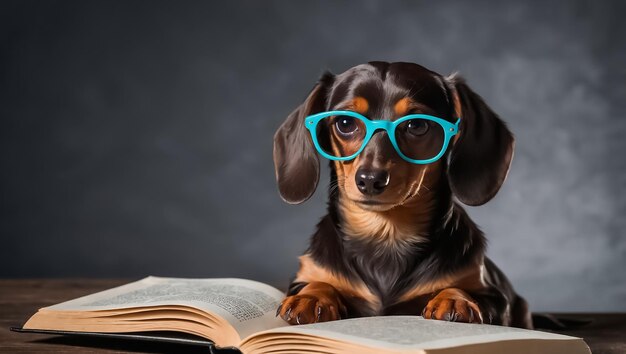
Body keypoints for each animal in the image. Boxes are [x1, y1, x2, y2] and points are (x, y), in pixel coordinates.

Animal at [270, 61, 528, 330]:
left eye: (417, 125)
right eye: (345, 123)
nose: (370, 180)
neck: (386, 232)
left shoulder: (494, 295)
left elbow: (461, 288)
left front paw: (455, 299)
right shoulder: (305, 275)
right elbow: (318, 281)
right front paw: (311, 297)